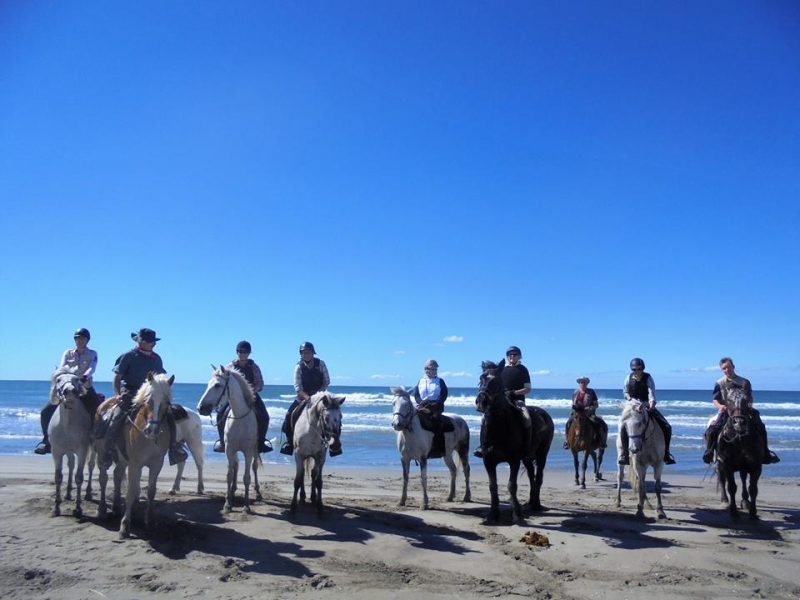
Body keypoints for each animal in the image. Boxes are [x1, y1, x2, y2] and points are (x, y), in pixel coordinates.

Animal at [48, 364, 94, 516]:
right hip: (68, 451)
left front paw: (78, 508)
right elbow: (58, 477)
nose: (69, 391)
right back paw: (68, 493)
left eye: (76, 379)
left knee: (91, 466)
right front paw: (57, 507)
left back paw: (88, 493)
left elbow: (79, 477)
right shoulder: (56, 451)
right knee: (71, 464)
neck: (68, 423)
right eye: (58, 380)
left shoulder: (82, 451)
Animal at [119, 370, 175, 540]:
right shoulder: (134, 464)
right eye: (148, 401)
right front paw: (125, 525)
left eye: (166, 402)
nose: (152, 430)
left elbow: (151, 491)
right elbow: (130, 492)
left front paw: (150, 520)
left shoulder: (157, 464)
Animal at [198, 366, 262, 516]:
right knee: (236, 465)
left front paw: (246, 506)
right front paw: (227, 504)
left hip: (255, 450)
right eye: (208, 383)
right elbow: (229, 474)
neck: (240, 417)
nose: (201, 408)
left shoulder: (248, 451)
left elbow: (247, 477)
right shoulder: (229, 449)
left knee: (255, 467)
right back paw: (232, 491)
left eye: (217, 385)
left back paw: (258, 491)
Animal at [476, 360, 552, 524]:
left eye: (497, 381)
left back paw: (536, 504)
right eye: (481, 378)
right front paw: (492, 514)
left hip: (542, 454)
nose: (481, 402)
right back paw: (530, 501)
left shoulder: (514, 460)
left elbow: (512, 485)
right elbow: (493, 486)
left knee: (539, 477)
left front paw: (516, 514)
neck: (500, 427)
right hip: (528, 458)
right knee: (531, 475)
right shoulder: (488, 461)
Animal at [716, 390, 764, 520]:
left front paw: (753, 512)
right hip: (720, 463)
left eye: (747, 400)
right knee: (722, 479)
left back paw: (745, 501)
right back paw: (724, 501)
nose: (739, 423)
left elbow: (753, 489)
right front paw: (733, 511)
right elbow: (732, 487)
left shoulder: (756, 466)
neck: (740, 438)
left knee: (743, 478)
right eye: (728, 400)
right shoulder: (727, 465)